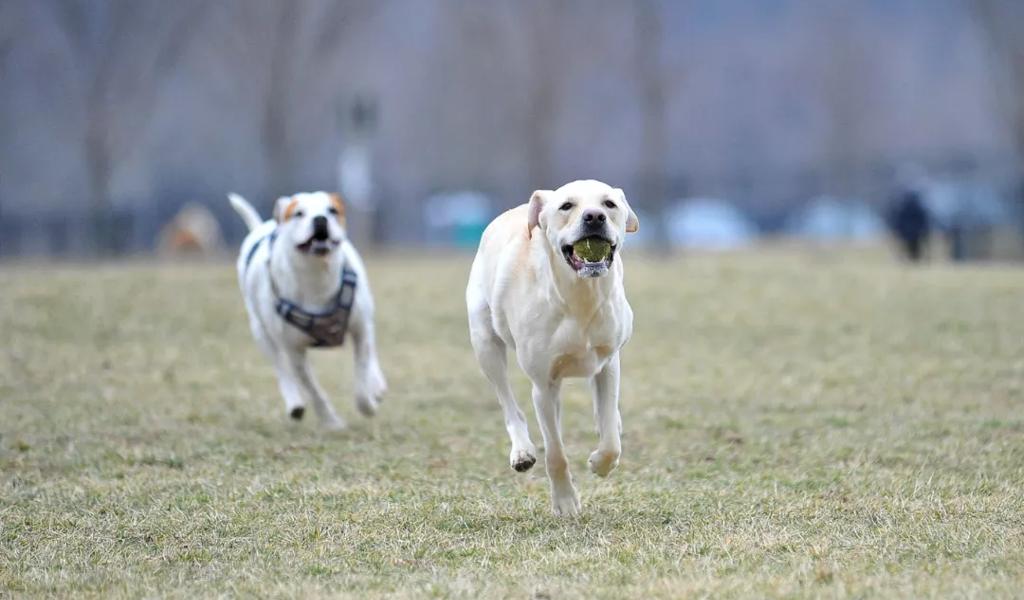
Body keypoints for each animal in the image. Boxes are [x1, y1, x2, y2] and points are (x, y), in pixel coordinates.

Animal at [230, 189, 385, 427]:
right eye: (299, 213)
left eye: (332, 210)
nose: (320, 219)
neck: (317, 277)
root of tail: (262, 227)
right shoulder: (294, 351)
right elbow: (313, 389)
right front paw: (331, 422)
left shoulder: (360, 328)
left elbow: (362, 371)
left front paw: (367, 404)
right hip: (261, 333)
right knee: (280, 367)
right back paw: (294, 403)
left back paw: (376, 384)